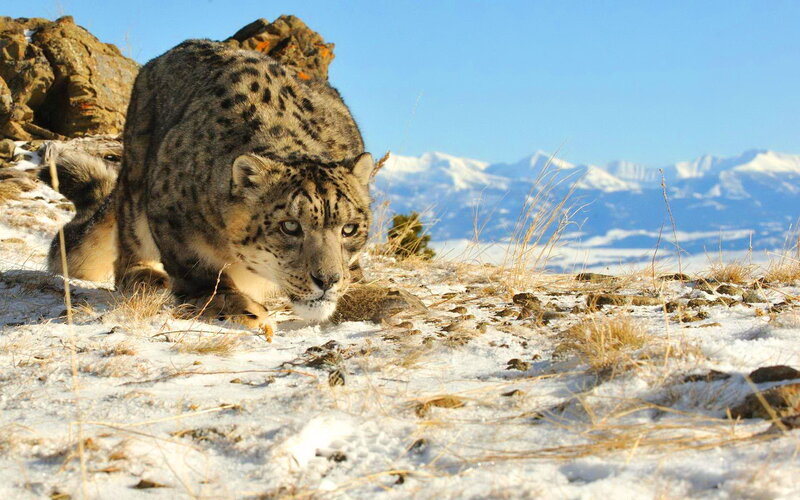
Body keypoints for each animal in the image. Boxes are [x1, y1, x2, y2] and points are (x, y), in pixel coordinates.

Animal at [44, 39, 375, 328]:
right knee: (128, 239)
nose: (327, 280)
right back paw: (144, 275)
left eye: (349, 229)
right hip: (136, 175)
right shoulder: (170, 216)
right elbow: (199, 270)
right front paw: (239, 307)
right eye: (290, 226)